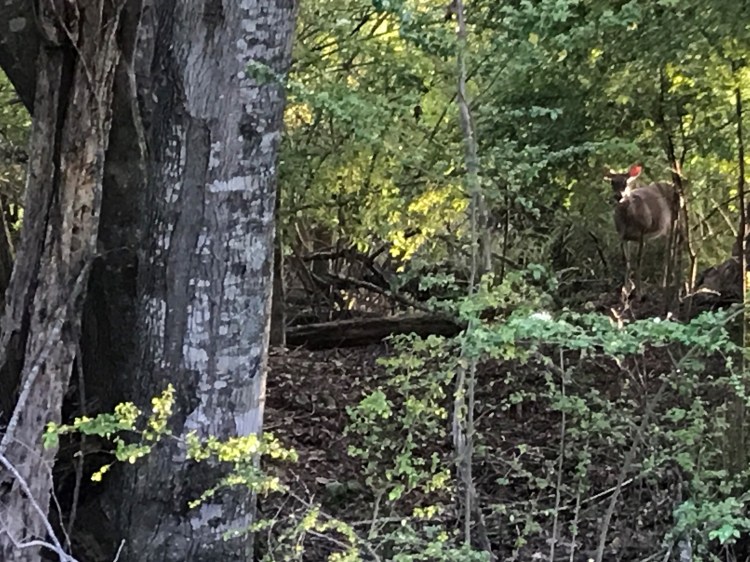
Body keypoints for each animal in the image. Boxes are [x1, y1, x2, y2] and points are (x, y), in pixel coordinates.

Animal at [604, 164, 680, 298]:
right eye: (612, 182)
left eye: (626, 182)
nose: (618, 196)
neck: (628, 220)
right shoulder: (622, 236)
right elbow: (626, 263)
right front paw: (625, 291)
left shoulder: (642, 233)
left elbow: (638, 261)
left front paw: (639, 292)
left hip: (675, 218)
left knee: (671, 249)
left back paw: (668, 282)